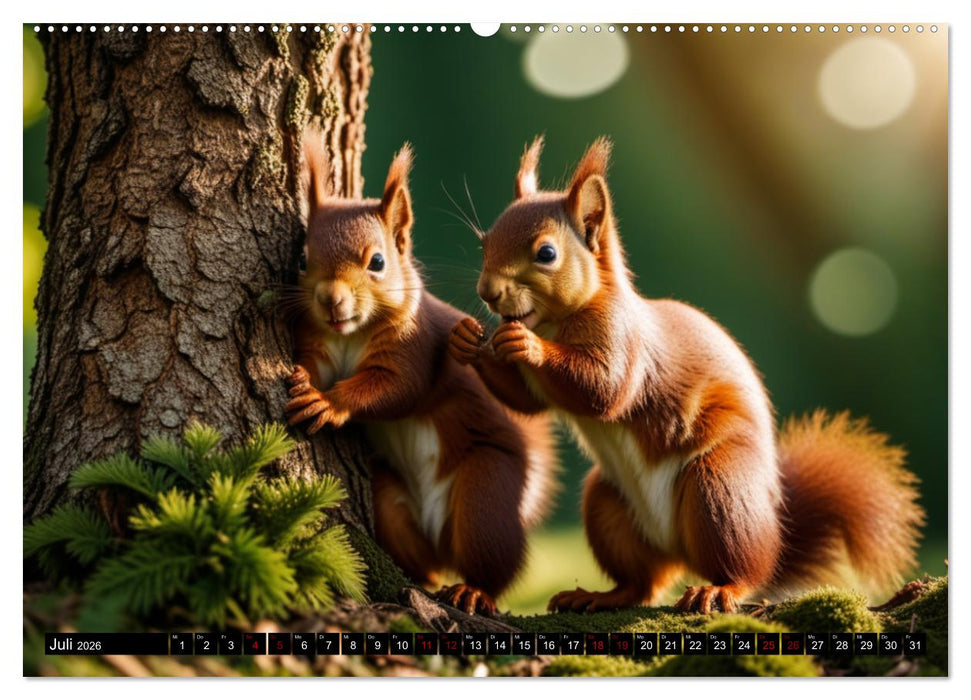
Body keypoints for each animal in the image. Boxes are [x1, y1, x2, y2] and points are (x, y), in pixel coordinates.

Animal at [284, 131, 558, 615]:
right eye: (302, 259)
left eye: (377, 262)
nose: (330, 300)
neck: (351, 335)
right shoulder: (318, 340)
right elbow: (313, 362)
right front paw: (303, 381)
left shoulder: (417, 346)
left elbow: (395, 389)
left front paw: (328, 402)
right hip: (388, 499)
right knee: (420, 556)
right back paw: (423, 577)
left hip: (485, 491)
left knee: (491, 556)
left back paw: (473, 591)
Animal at [448, 135, 925, 614]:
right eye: (485, 242)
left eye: (546, 254)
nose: (487, 292)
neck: (553, 322)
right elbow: (525, 401)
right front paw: (465, 340)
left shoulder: (623, 341)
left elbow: (603, 389)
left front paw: (528, 346)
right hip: (608, 506)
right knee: (642, 584)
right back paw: (598, 596)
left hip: (719, 487)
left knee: (742, 568)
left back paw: (719, 589)